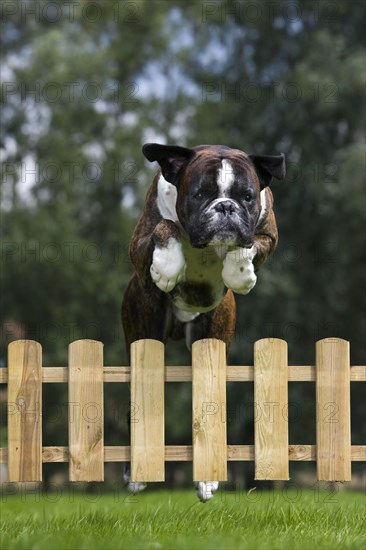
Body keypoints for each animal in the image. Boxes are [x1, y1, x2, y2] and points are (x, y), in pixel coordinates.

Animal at [123, 143, 286, 504]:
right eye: (200, 194)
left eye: (247, 196)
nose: (225, 207)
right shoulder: (139, 243)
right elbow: (165, 226)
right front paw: (167, 268)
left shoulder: (267, 235)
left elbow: (248, 245)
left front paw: (239, 274)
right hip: (143, 335)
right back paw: (135, 474)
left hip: (212, 338)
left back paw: (207, 480)